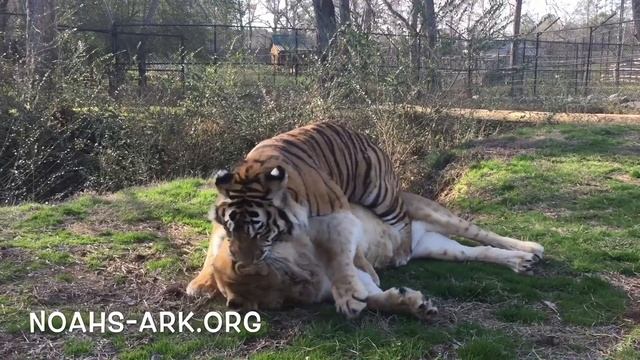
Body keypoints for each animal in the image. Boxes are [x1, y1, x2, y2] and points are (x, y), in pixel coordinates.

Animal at [186, 121, 544, 318]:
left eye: (288, 277)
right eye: (287, 296)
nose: (312, 283)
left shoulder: (338, 219)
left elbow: (345, 260)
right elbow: (373, 297)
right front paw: (411, 305)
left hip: (415, 206)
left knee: (483, 235)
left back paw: (531, 248)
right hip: (442, 248)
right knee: (479, 252)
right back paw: (520, 262)